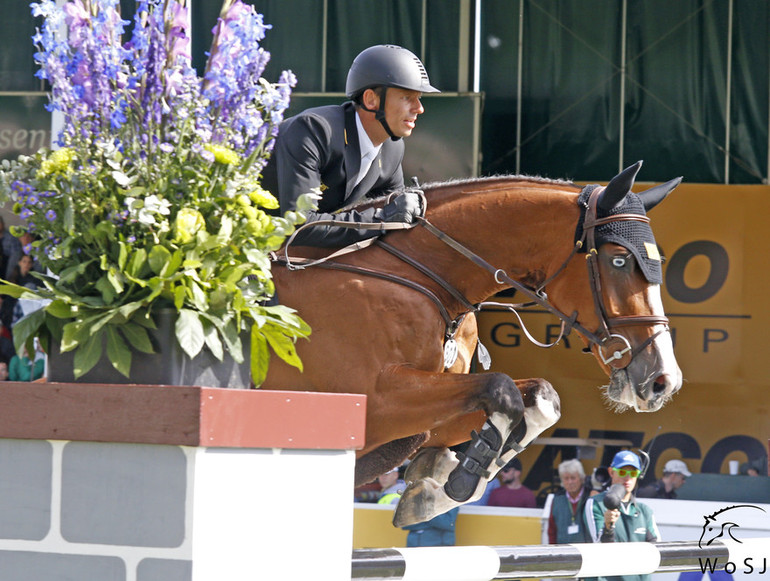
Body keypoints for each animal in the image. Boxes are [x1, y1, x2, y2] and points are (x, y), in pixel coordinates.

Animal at [262, 160, 680, 524]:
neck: (422, 278)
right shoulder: (378, 403)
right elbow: (501, 388)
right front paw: (455, 479)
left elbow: (539, 397)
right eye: (619, 260)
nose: (663, 381)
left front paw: (435, 484)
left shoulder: (424, 420)